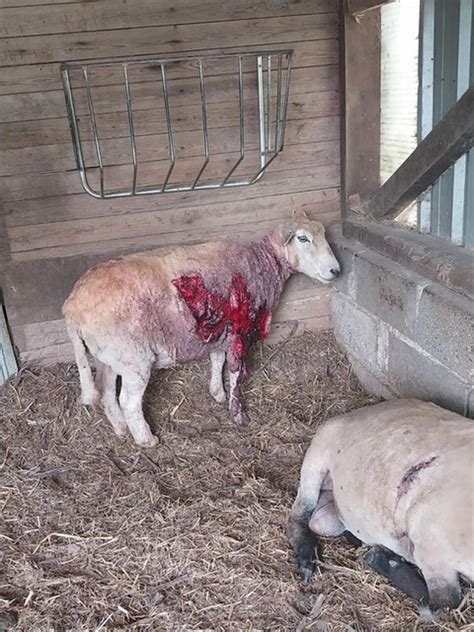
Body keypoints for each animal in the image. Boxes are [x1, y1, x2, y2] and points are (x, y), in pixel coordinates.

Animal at [64, 215, 340, 446]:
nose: (335, 270)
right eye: (302, 238)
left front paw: (217, 393)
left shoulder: (222, 331)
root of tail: (72, 307)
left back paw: (120, 428)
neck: (260, 264)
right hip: (132, 358)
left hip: (108, 356)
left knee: (106, 391)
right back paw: (146, 440)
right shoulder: (239, 332)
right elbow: (236, 374)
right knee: (128, 402)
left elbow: (217, 361)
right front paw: (238, 414)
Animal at [288, 400, 474, 612]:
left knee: (320, 521)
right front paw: (380, 558)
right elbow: (443, 605)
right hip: (317, 457)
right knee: (298, 515)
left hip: (332, 512)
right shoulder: (431, 549)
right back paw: (307, 563)